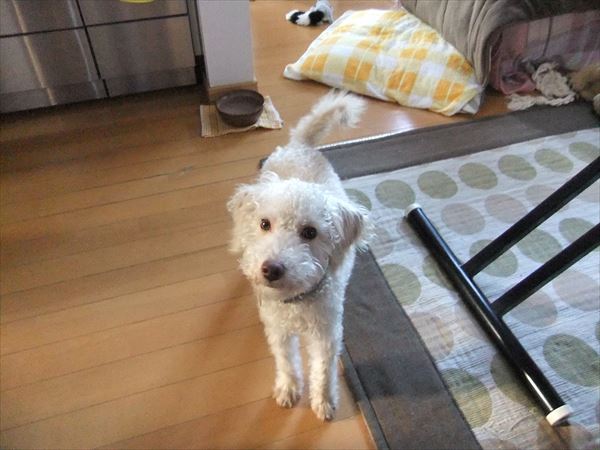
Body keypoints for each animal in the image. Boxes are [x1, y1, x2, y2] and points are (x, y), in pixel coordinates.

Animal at [227, 91, 369, 421]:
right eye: (264, 224)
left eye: (310, 232)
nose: (270, 269)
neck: (296, 303)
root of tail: (301, 145)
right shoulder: (278, 331)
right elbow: (286, 362)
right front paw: (289, 389)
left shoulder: (327, 335)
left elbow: (324, 370)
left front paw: (324, 402)